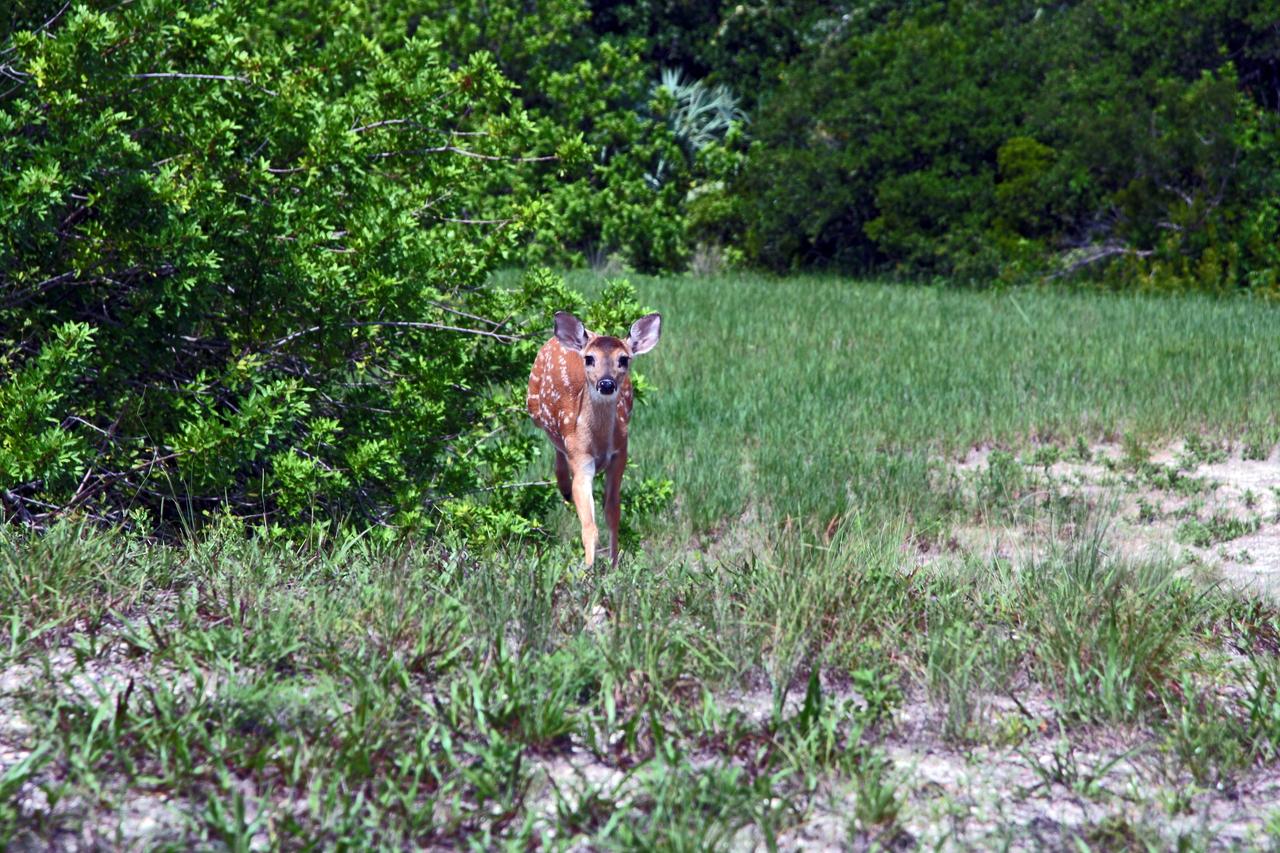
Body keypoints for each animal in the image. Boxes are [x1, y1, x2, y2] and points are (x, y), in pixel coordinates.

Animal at [526, 310, 662, 567]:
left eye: (624, 359)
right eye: (590, 359)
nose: (606, 383)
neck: (598, 443)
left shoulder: (620, 454)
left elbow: (612, 514)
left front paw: (613, 564)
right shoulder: (581, 460)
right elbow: (589, 525)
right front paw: (588, 567)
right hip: (533, 407)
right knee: (556, 446)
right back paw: (564, 487)